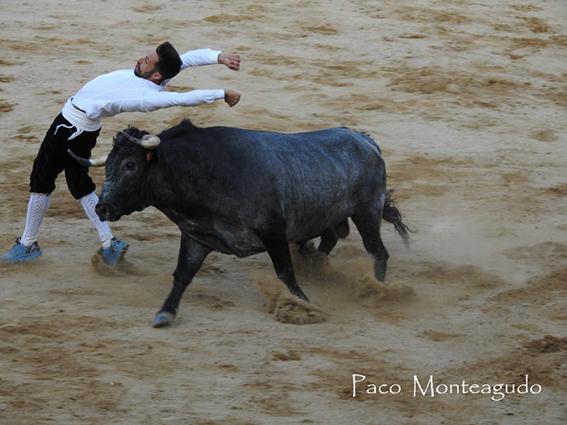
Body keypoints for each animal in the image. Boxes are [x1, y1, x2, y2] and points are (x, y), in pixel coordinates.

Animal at [69, 121, 410, 326]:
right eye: (109, 166)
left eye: (130, 165)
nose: (102, 207)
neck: (209, 174)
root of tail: (365, 140)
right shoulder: (197, 237)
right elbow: (182, 275)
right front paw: (165, 313)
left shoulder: (274, 233)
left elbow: (284, 272)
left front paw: (305, 306)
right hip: (330, 217)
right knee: (327, 243)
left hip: (367, 212)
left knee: (378, 252)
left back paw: (377, 291)